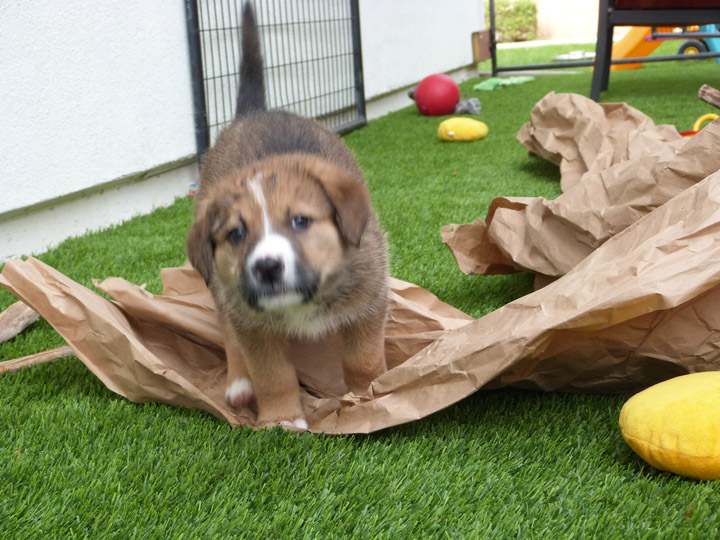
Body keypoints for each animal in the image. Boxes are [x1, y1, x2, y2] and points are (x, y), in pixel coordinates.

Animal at [186, 1, 388, 430]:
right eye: (236, 234)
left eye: (300, 221)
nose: (266, 268)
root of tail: (253, 113)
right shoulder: (252, 325)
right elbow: (273, 375)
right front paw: (281, 420)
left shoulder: (369, 301)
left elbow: (363, 360)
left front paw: (372, 396)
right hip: (223, 293)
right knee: (228, 335)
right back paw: (238, 384)